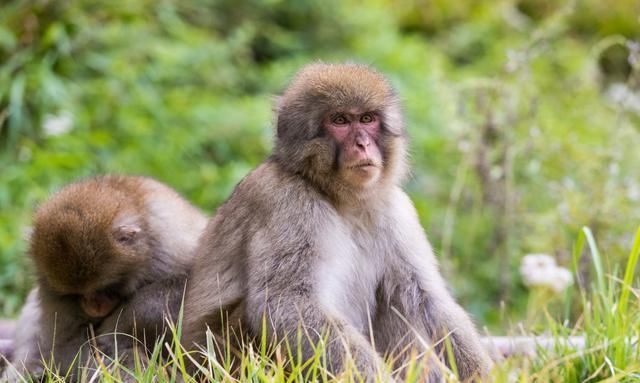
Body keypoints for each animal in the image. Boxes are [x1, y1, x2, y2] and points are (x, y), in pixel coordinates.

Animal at [4, 176, 208, 380]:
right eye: (76, 295)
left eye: (105, 288)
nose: (94, 307)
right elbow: (66, 342)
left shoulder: (169, 247)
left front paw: (119, 327)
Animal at [182, 63, 492, 380]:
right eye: (340, 120)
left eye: (367, 119)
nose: (363, 144)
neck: (340, 199)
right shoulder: (288, 204)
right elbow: (287, 303)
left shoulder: (396, 208)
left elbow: (425, 296)